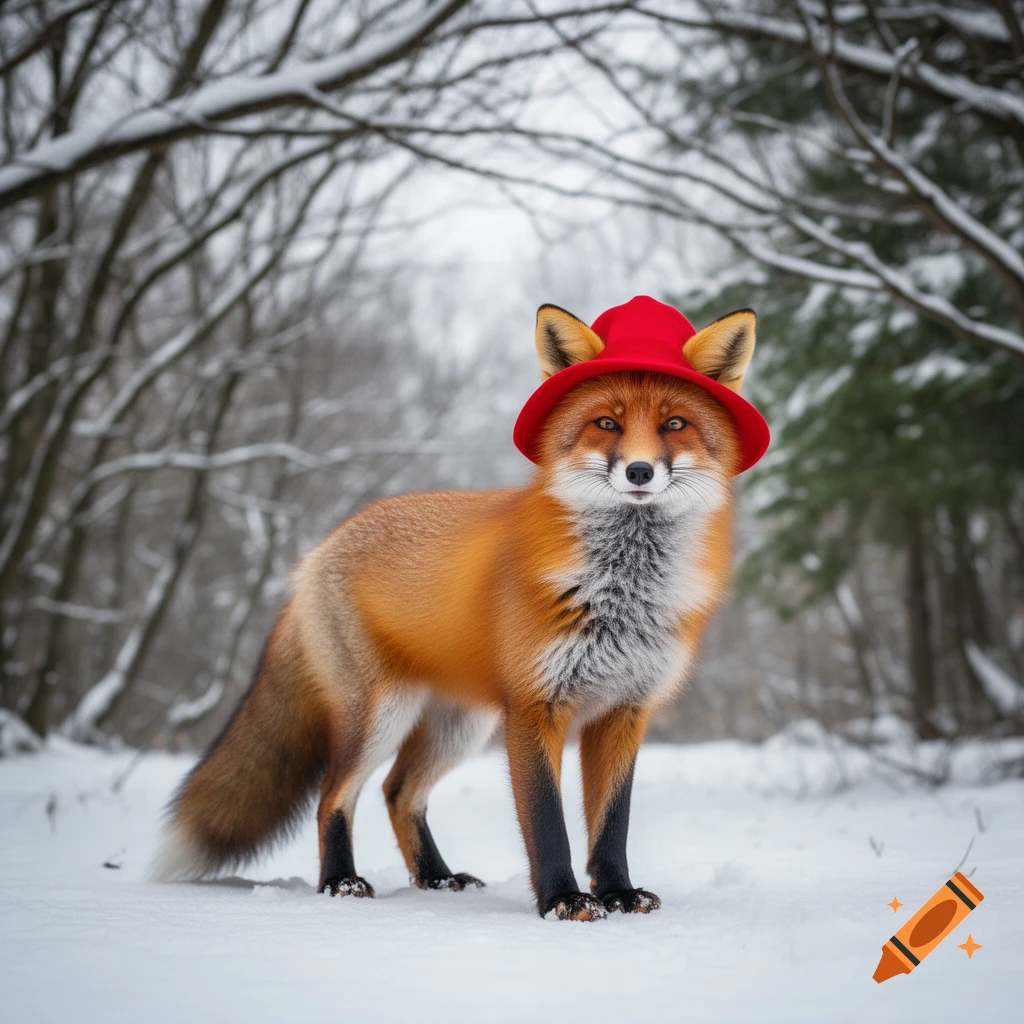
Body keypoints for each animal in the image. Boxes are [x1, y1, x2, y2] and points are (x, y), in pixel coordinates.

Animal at [154, 296, 766, 921]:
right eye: (607, 423)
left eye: (674, 424)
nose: (640, 471)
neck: (622, 591)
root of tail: (318, 551)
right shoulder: (535, 708)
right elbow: (546, 820)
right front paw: (562, 900)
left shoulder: (624, 710)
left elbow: (611, 823)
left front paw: (618, 893)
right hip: (381, 715)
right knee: (334, 794)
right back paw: (341, 882)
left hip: (458, 726)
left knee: (398, 792)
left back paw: (437, 878)